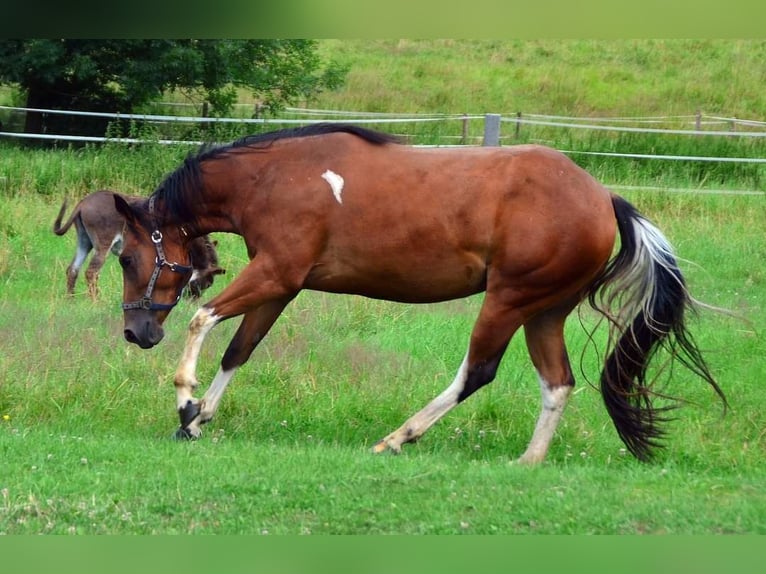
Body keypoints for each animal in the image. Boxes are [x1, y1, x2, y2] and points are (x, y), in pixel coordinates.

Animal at [54, 194, 225, 302]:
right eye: (205, 284)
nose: (190, 304)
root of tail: (84, 202)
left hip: (85, 241)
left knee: (73, 269)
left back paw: (70, 300)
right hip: (103, 244)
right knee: (91, 272)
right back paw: (96, 301)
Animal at [112, 124, 728, 466]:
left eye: (125, 256)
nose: (135, 332)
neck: (273, 179)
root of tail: (603, 198)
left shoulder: (276, 274)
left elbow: (202, 319)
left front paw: (185, 401)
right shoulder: (281, 287)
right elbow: (239, 350)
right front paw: (198, 419)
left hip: (508, 301)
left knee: (477, 372)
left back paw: (397, 438)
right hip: (544, 311)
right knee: (557, 383)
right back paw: (528, 462)